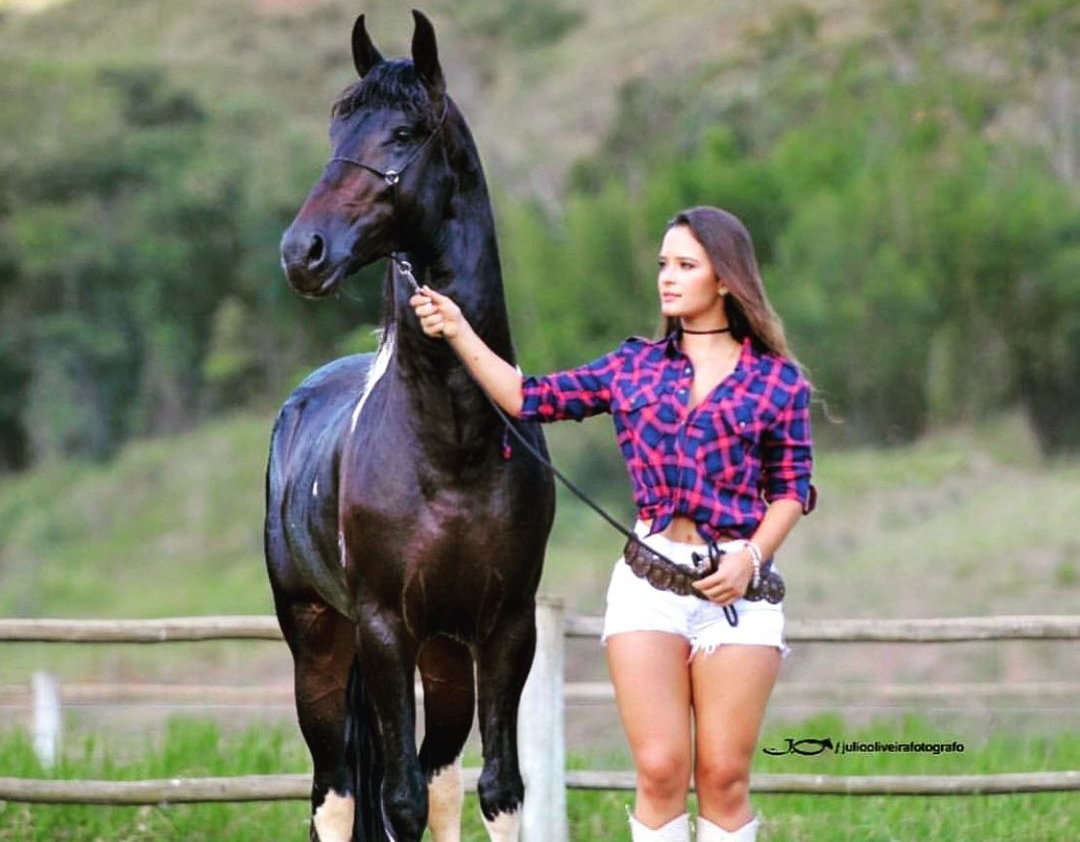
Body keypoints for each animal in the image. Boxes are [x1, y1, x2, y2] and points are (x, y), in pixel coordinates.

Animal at [263, 11, 557, 842]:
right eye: (337, 124)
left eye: (401, 133)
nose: (303, 252)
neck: (452, 448)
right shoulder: (384, 628)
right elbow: (395, 802)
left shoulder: (505, 628)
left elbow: (500, 789)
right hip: (319, 645)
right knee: (335, 791)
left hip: (444, 654)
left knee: (441, 778)